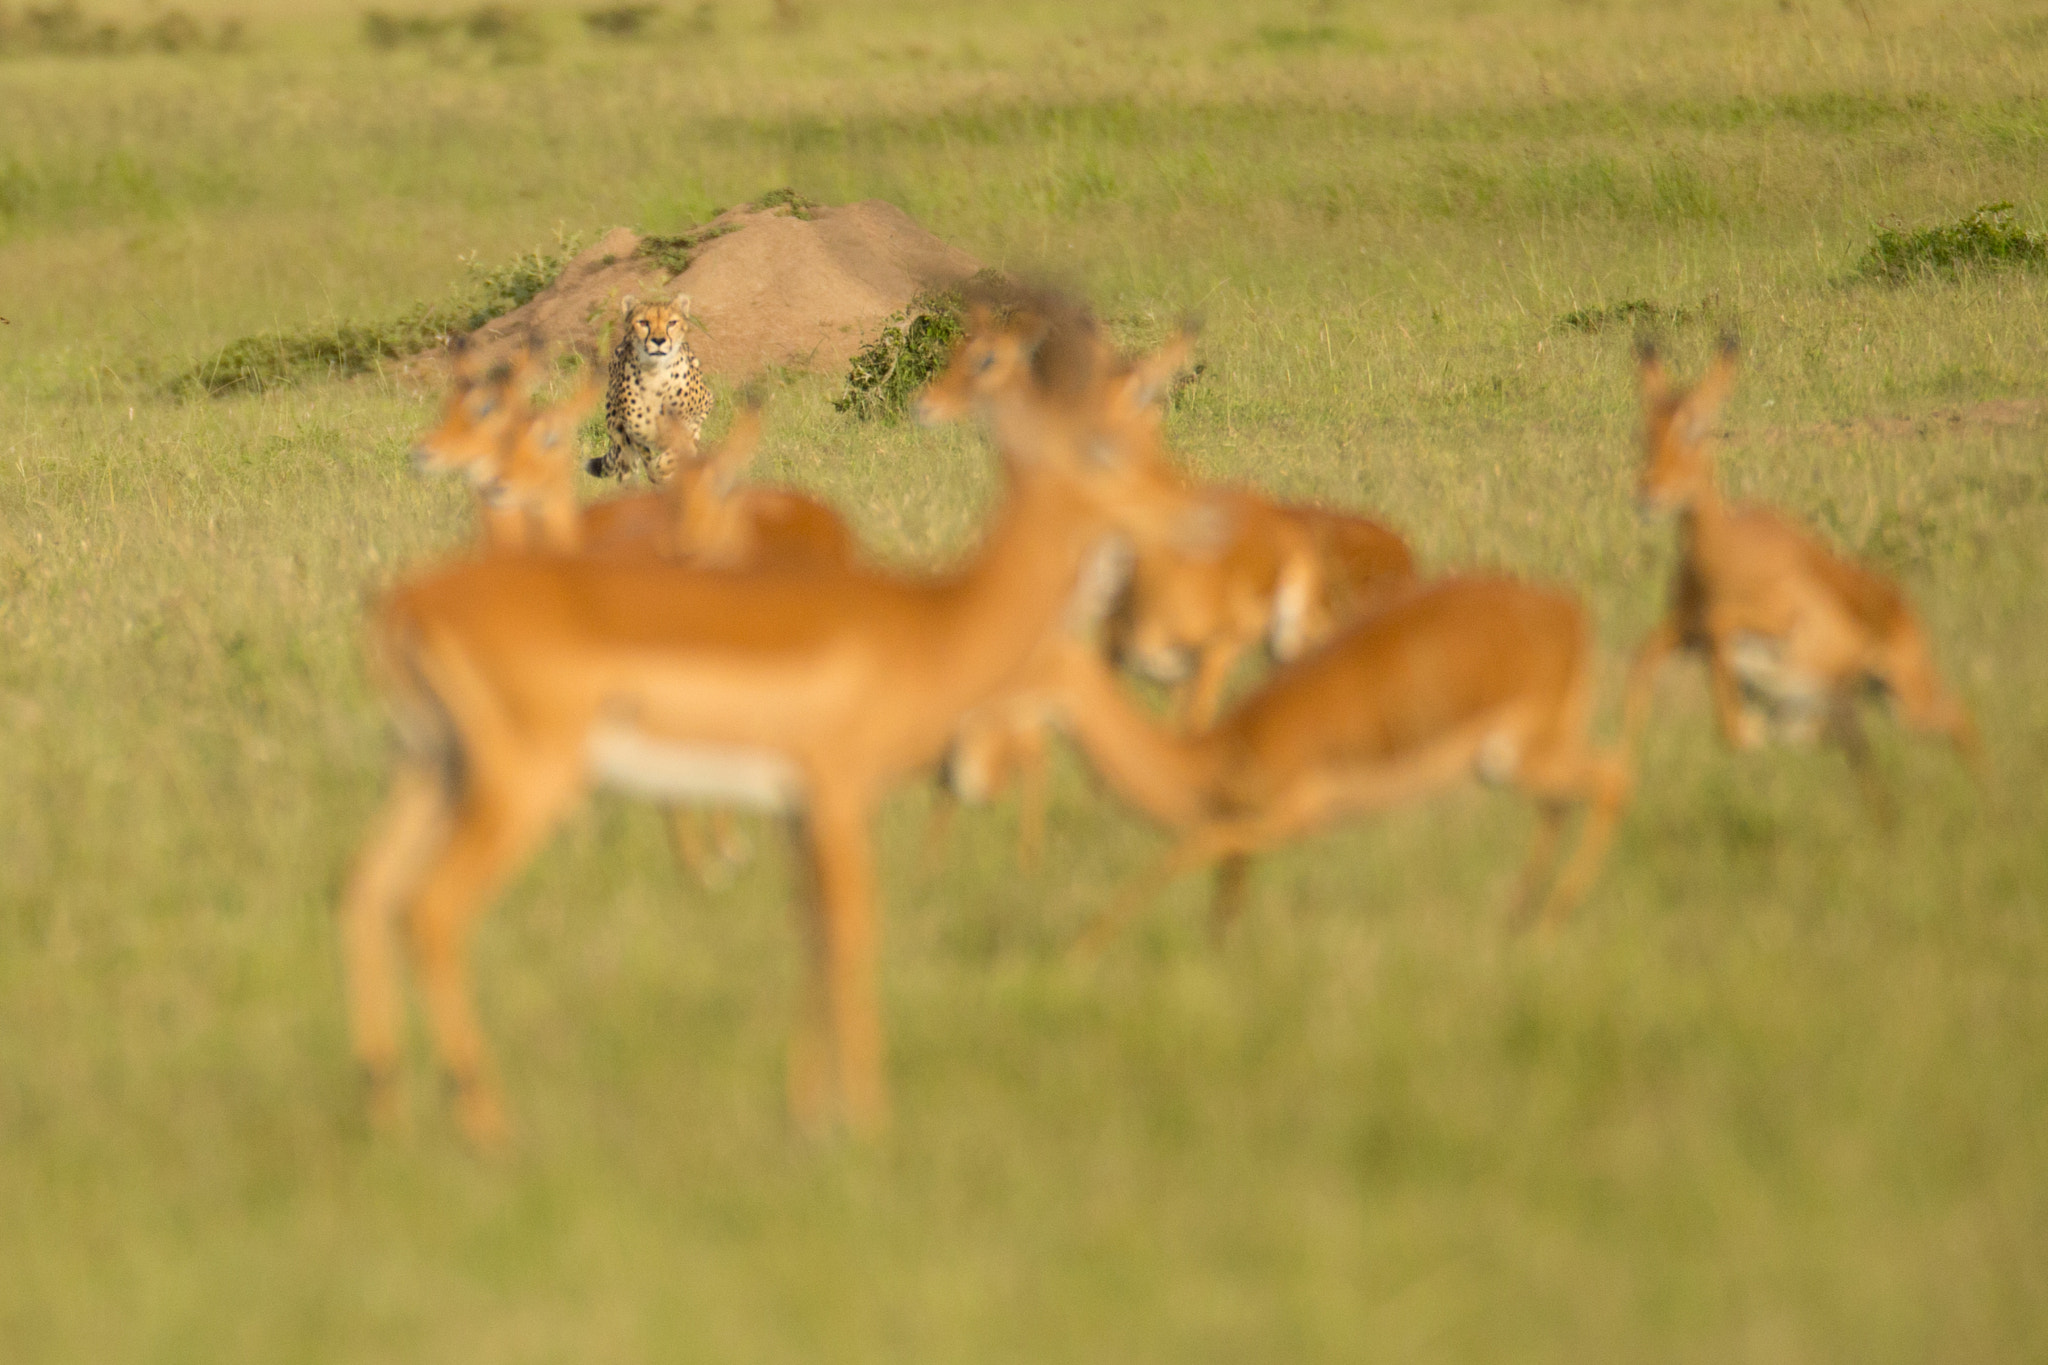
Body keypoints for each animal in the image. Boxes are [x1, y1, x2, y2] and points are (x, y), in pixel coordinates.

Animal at [589, 290, 716, 482]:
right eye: (643, 323)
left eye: (671, 322)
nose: (658, 340)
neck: (655, 374)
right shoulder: (633, 434)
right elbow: (648, 460)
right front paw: (658, 472)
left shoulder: (701, 409)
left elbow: (680, 445)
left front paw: (664, 467)